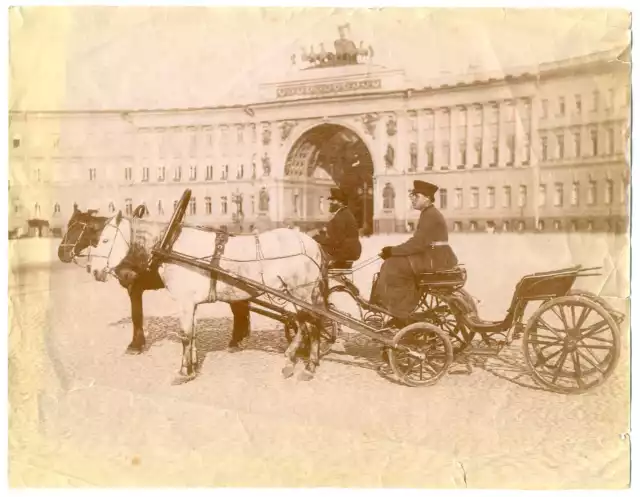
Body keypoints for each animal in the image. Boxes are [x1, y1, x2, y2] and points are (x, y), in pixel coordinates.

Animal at [57, 204, 250, 352]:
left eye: (76, 227)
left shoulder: (134, 287)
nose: (61, 254)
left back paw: (236, 340)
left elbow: (136, 314)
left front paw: (136, 345)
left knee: (239, 309)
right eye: (68, 226)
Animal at [89, 209, 330, 384]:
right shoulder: (192, 303)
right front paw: (192, 367)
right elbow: (193, 334)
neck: (171, 244)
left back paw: (306, 366)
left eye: (105, 240)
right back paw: (297, 361)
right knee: (307, 324)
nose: (93, 270)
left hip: (301, 293)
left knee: (311, 325)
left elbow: (186, 336)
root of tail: (313, 244)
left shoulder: (185, 302)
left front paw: (183, 372)